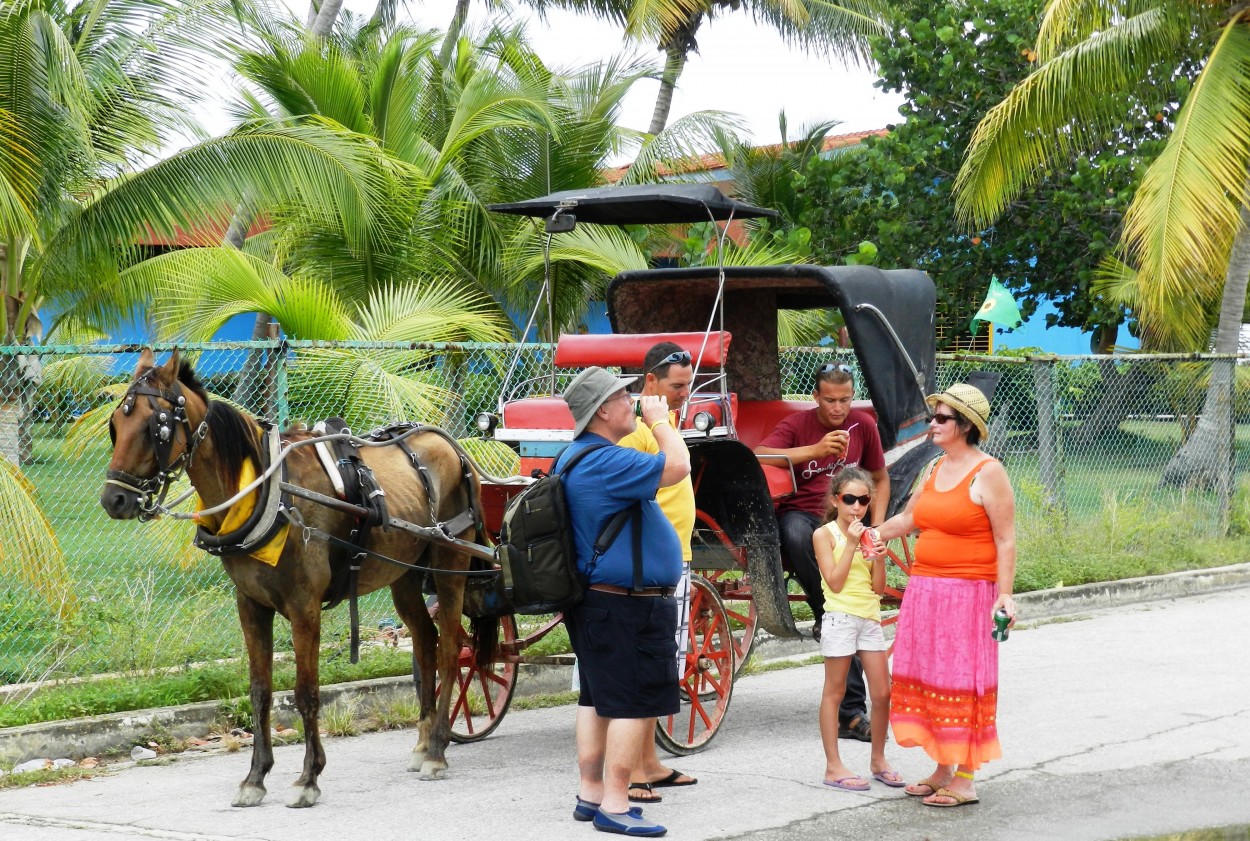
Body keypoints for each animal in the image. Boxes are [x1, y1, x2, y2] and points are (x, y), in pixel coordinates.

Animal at [100, 349, 490, 804]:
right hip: (407, 574)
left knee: (450, 650)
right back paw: (424, 741)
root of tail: (451, 445)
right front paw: (255, 776)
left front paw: (308, 777)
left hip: (450, 563)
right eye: (115, 424)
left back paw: (439, 749)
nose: (114, 499)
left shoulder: (305, 607)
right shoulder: (250, 605)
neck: (269, 495)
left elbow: (306, 693)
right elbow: (260, 691)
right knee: (427, 642)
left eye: (155, 426)